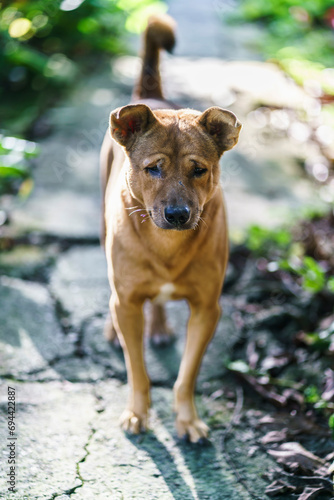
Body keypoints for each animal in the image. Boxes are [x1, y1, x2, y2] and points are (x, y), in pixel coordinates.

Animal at [100, 13, 241, 444]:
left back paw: (160, 325)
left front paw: (188, 420)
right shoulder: (128, 303)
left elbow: (186, 376)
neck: (166, 243)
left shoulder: (207, 309)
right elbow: (137, 370)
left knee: (158, 304)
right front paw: (137, 413)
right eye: (153, 168)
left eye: (199, 170)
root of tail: (155, 98)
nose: (178, 214)